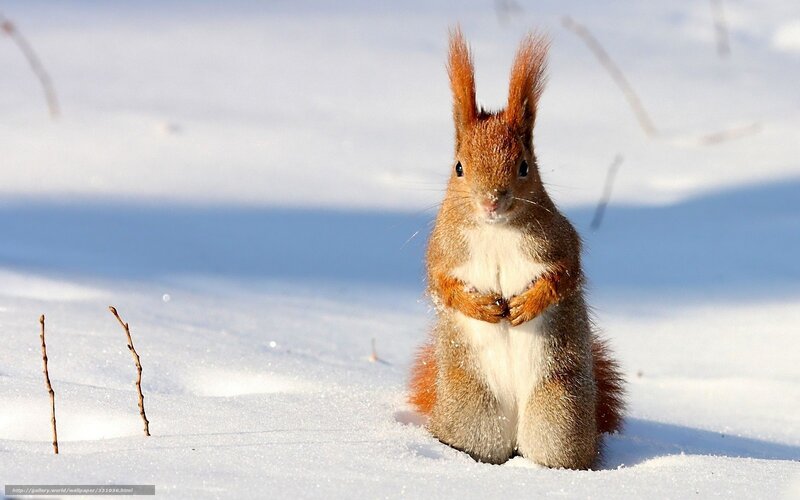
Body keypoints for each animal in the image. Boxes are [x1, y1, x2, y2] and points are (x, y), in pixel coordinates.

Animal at [408, 29, 625, 469]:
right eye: (459, 167)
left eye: (524, 166)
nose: (492, 200)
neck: (495, 231)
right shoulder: (442, 251)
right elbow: (442, 285)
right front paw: (483, 308)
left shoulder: (560, 242)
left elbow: (564, 275)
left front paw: (526, 305)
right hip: (473, 413)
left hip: (559, 412)